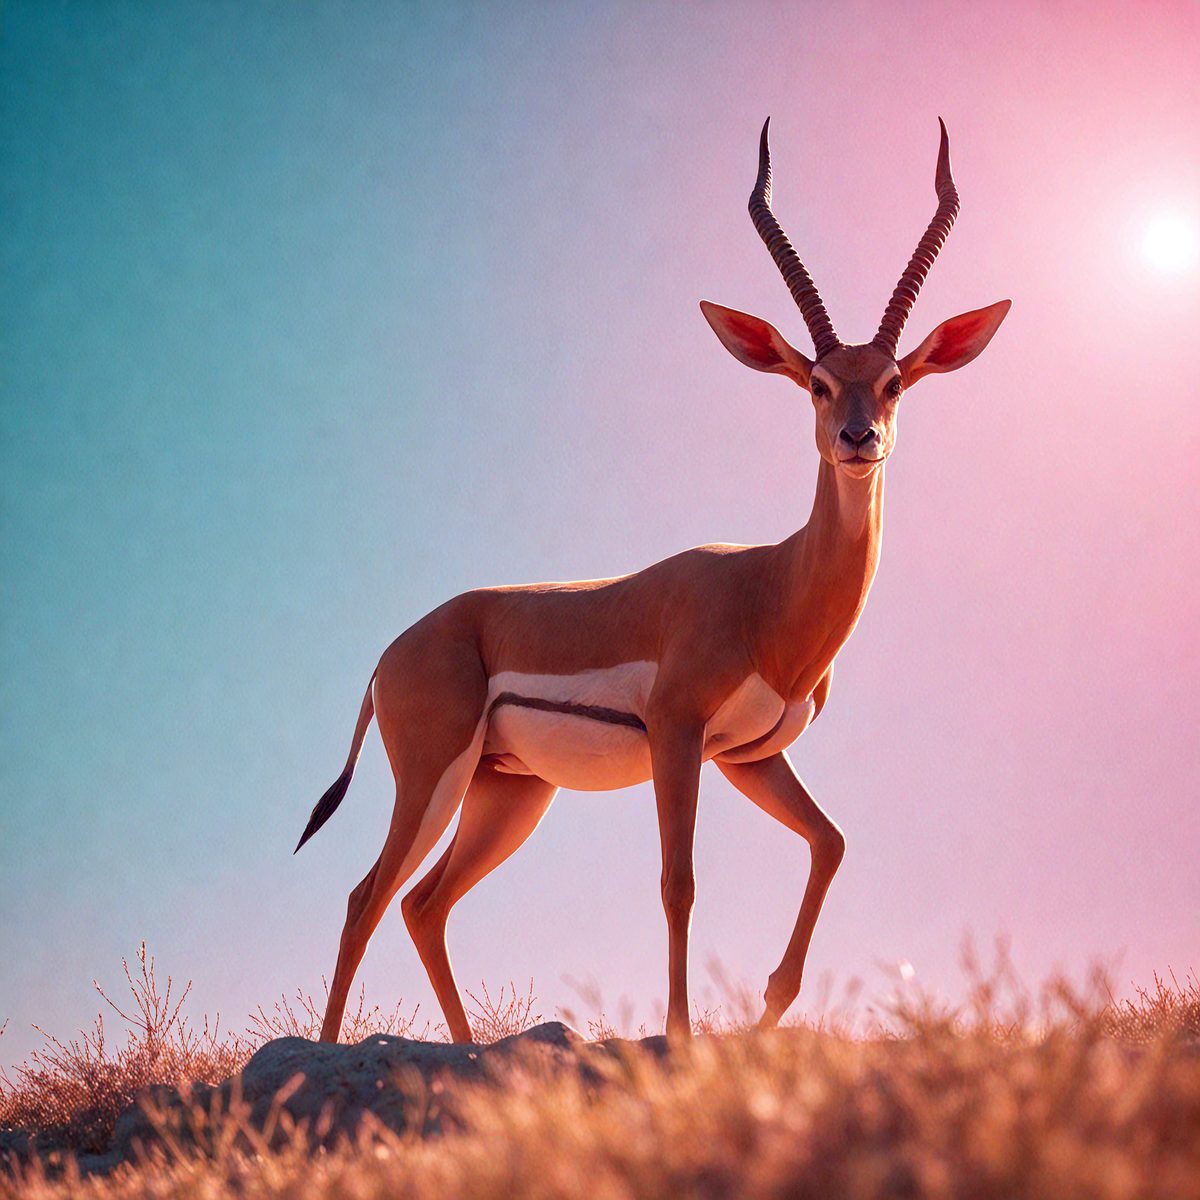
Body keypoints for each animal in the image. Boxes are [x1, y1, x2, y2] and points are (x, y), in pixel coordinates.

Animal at [297, 119, 1010, 1044]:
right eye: (817, 383)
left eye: (893, 382)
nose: (860, 439)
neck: (770, 589)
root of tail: (394, 650)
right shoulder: (678, 735)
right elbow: (680, 882)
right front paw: (682, 1034)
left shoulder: (747, 756)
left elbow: (832, 843)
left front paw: (767, 1009)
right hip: (435, 777)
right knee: (366, 897)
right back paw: (326, 1052)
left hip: (509, 791)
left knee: (424, 904)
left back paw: (468, 1052)